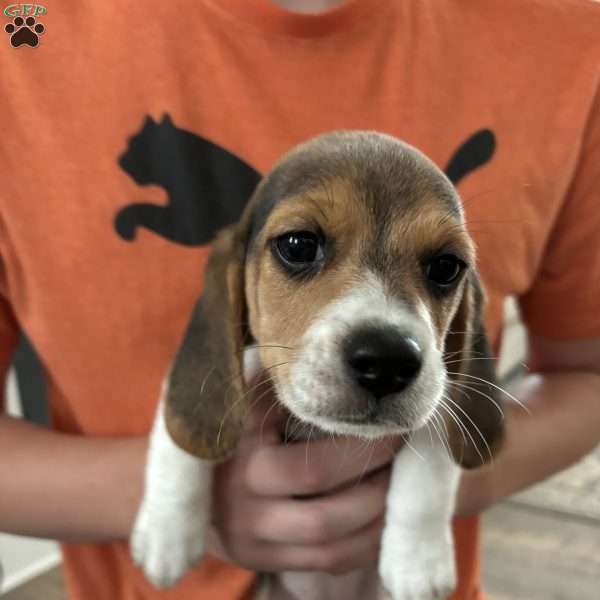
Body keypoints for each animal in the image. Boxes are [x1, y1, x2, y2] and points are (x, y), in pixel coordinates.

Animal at [132, 132, 506, 600]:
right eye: (299, 245)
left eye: (446, 266)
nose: (386, 361)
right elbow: (175, 437)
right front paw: (165, 535)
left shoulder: (441, 384)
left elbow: (430, 459)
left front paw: (419, 561)